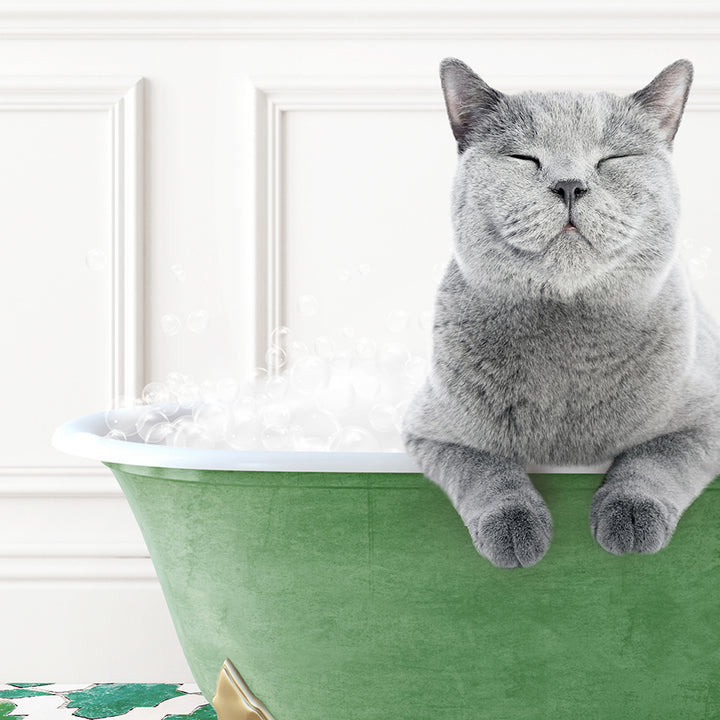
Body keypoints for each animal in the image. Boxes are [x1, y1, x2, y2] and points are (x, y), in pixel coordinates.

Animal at [400, 57, 720, 568]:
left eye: (612, 159)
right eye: (523, 158)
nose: (570, 185)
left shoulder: (706, 417)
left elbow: (656, 457)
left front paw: (631, 517)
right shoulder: (432, 431)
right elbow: (485, 467)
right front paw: (515, 528)